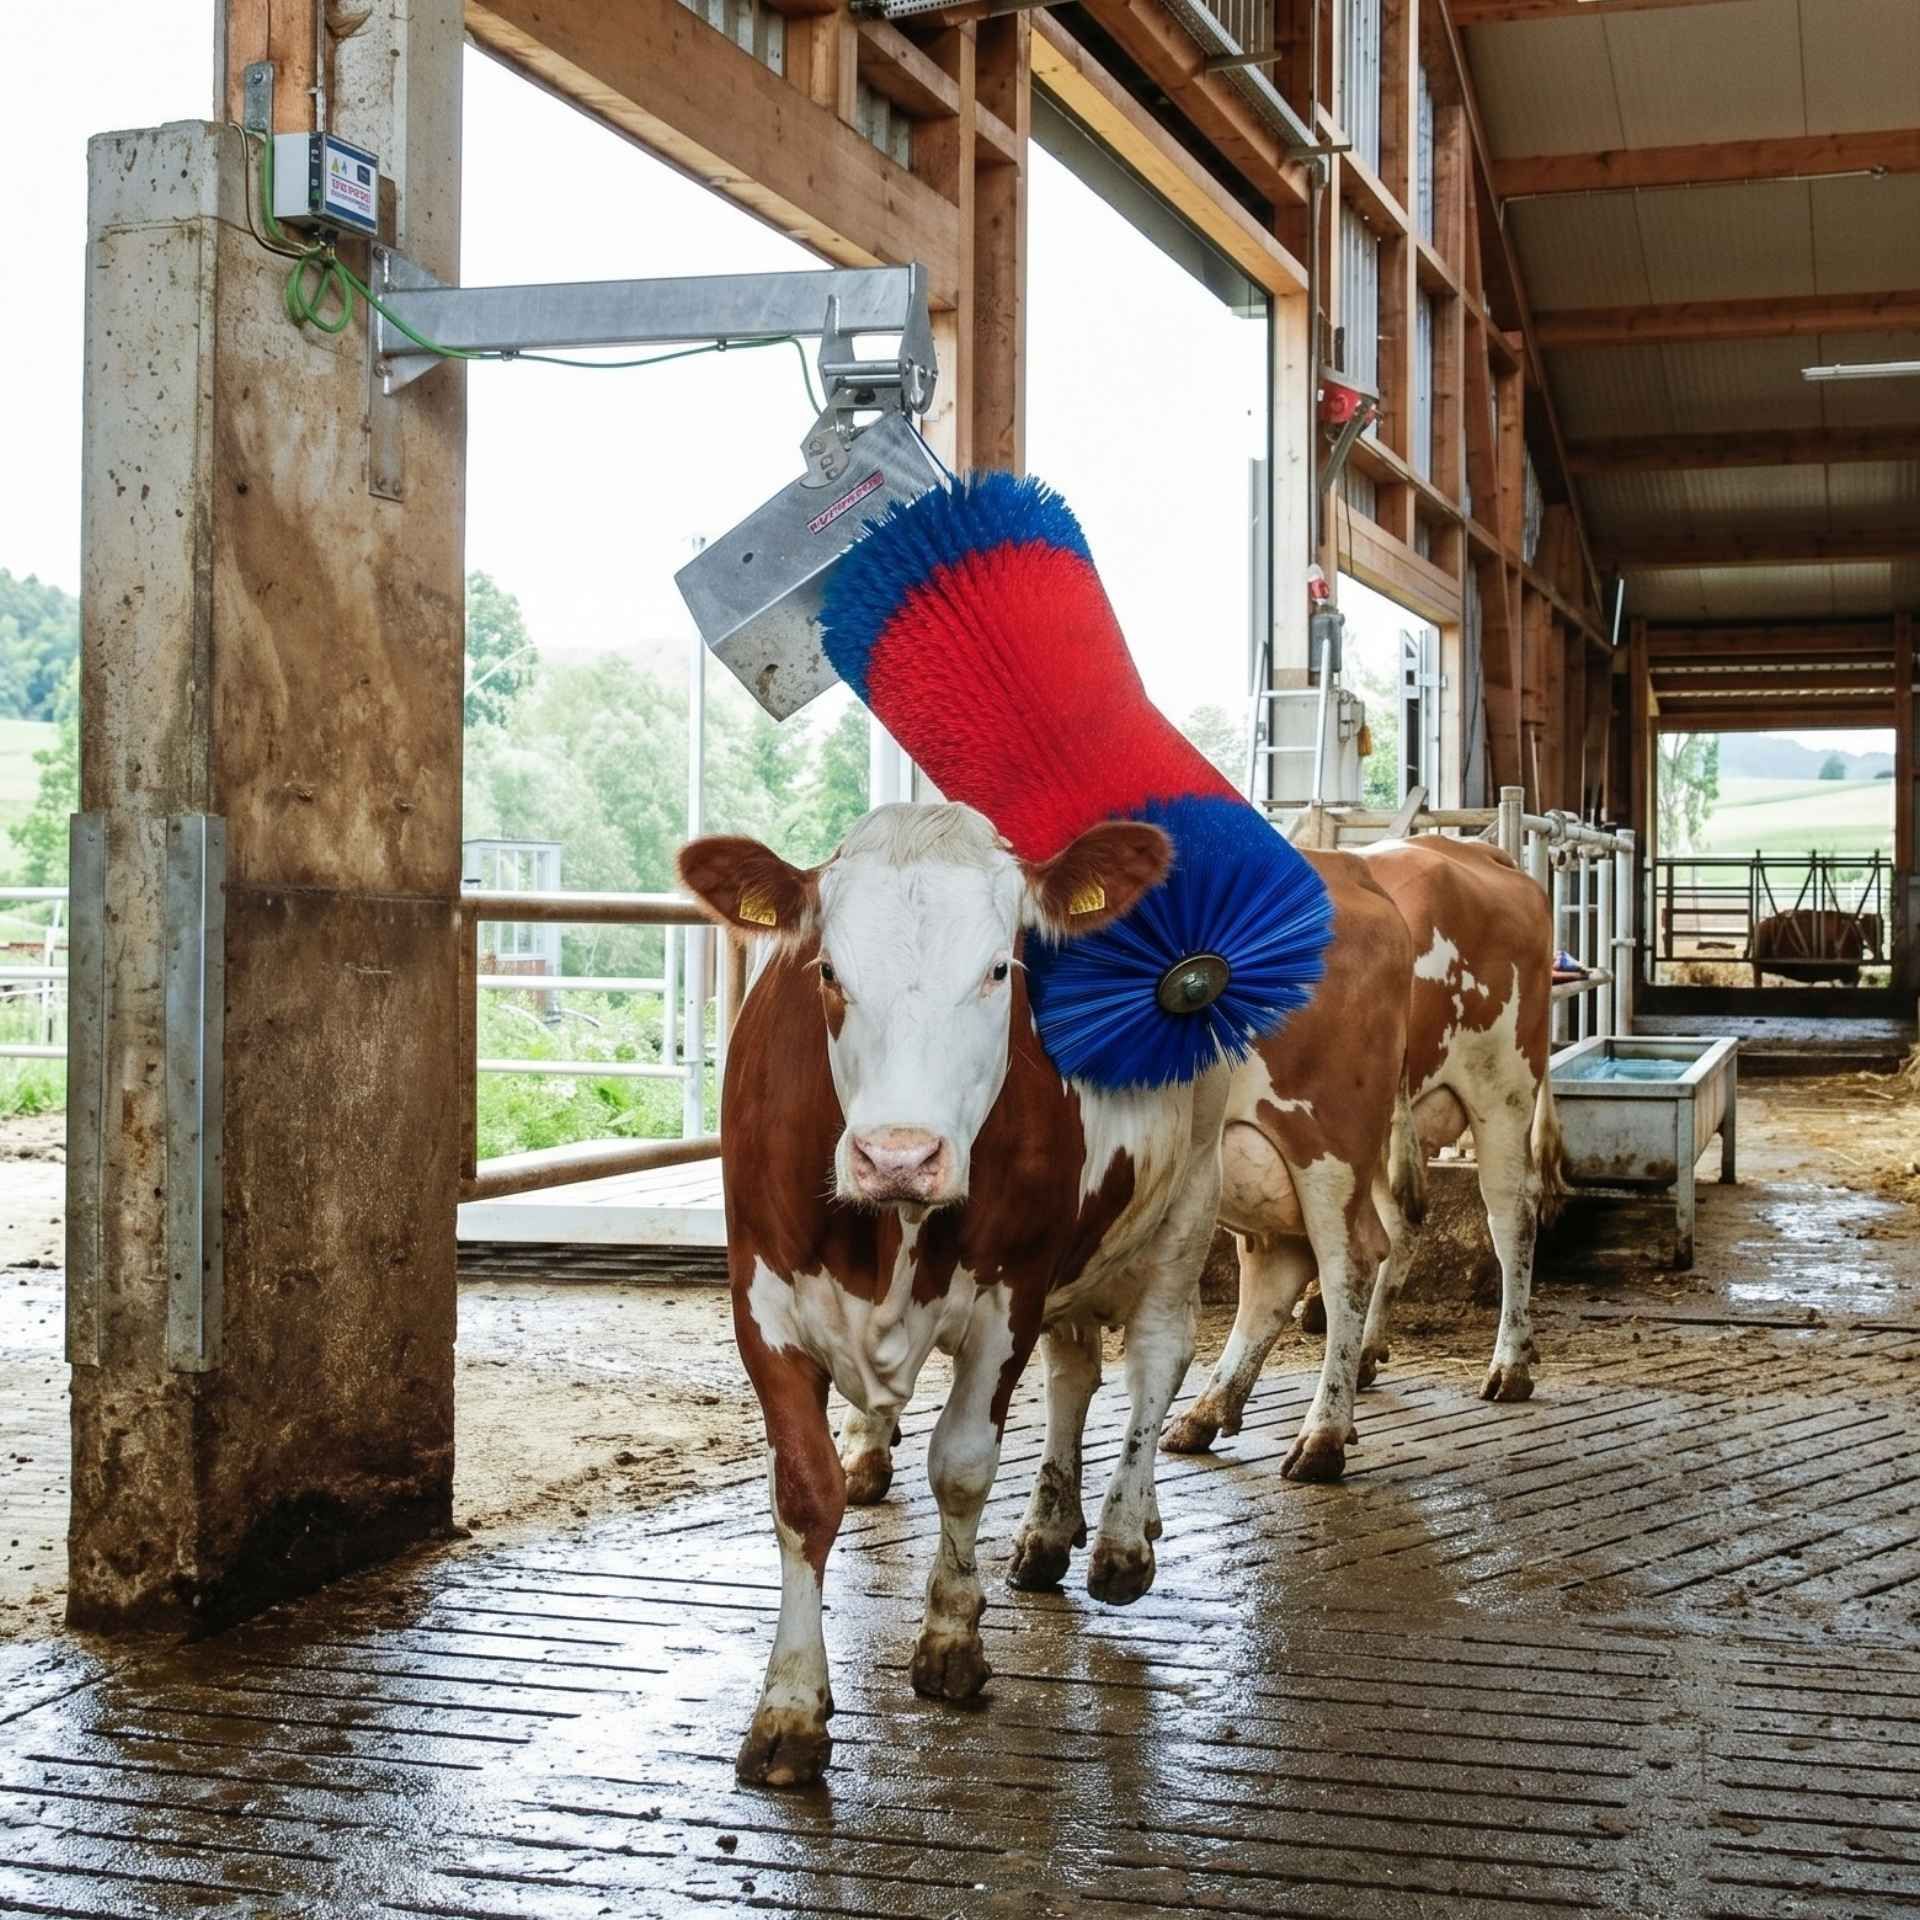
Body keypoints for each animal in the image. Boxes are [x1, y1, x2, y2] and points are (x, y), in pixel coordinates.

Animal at [679, 802, 1412, 1787]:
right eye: (828, 971)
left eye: (1001, 969)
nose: (899, 1156)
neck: (890, 1238)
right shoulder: (764, 1305)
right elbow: (803, 1494)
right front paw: (790, 1709)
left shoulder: (1011, 1295)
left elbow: (960, 1466)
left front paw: (951, 1640)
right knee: (1080, 1375)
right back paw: (1050, 1530)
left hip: (1229, 1181)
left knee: (1203, 1336)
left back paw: (1147, 1526)